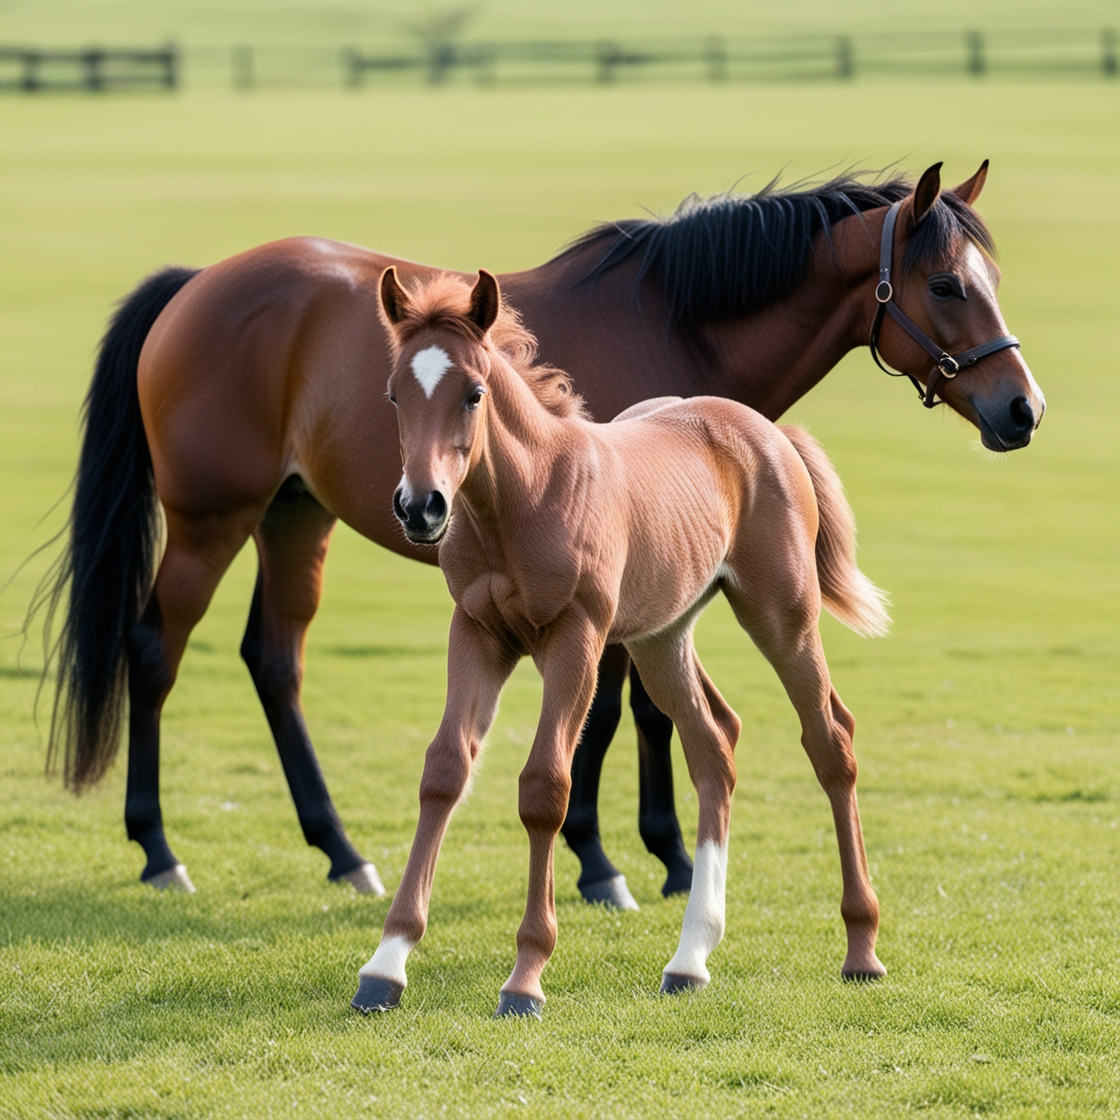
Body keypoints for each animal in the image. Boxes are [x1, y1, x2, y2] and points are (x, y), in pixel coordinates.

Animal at [39, 161, 1043, 903]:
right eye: (948, 283)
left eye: (993, 280)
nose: (1023, 410)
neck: (678, 329)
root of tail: (197, 283)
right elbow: (608, 713)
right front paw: (612, 862)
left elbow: (641, 709)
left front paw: (661, 853)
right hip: (211, 521)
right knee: (153, 650)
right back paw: (159, 850)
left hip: (295, 517)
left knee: (273, 660)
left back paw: (342, 851)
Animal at [353, 266, 892, 1017]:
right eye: (394, 393)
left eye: (474, 393)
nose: (420, 507)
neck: (518, 504)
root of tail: (769, 430)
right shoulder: (478, 632)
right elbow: (444, 771)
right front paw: (386, 963)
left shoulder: (576, 638)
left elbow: (545, 786)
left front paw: (525, 976)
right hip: (661, 637)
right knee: (713, 744)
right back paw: (690, 957)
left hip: (783, 617)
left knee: (830, 740)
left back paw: (861, 947)